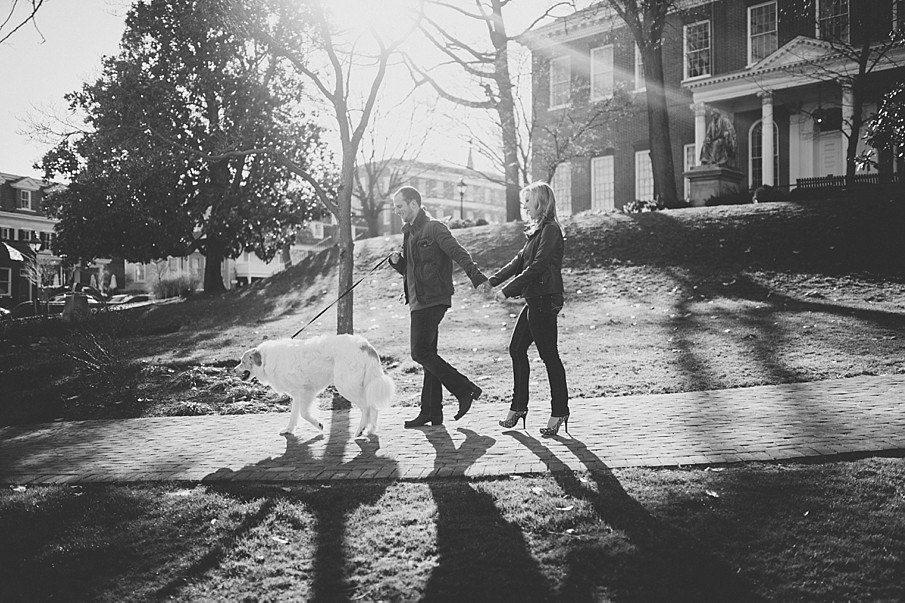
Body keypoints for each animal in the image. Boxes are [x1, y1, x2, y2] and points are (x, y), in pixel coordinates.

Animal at [237, 336, 396, 438]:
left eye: (243, 362)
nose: (233, 370)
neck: (266, 360)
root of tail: (364, 344)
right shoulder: (297, 395)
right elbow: (294, 416)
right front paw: (289, 430)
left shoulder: (306, 392)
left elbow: (303, 414)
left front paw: (318, 425)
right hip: (362, 386)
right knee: (373, 407)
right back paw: (370, 431)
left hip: (346, 386)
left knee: (366, 408)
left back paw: (361, 430)